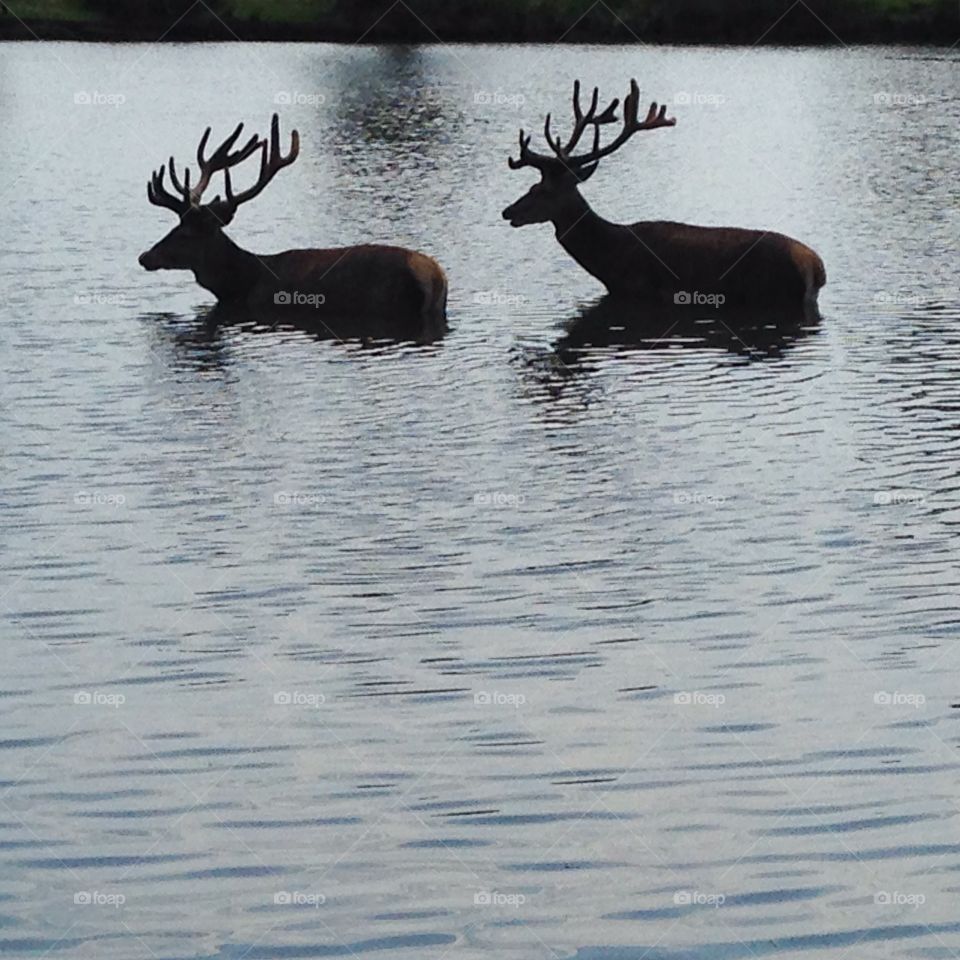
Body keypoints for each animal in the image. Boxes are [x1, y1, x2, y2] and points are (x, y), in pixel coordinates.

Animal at [503, 80, 826, 307]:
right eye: (532, 185)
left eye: (543, 190)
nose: (508, 211)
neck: (609, 258)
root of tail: (816, 267)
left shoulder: (642, 290)